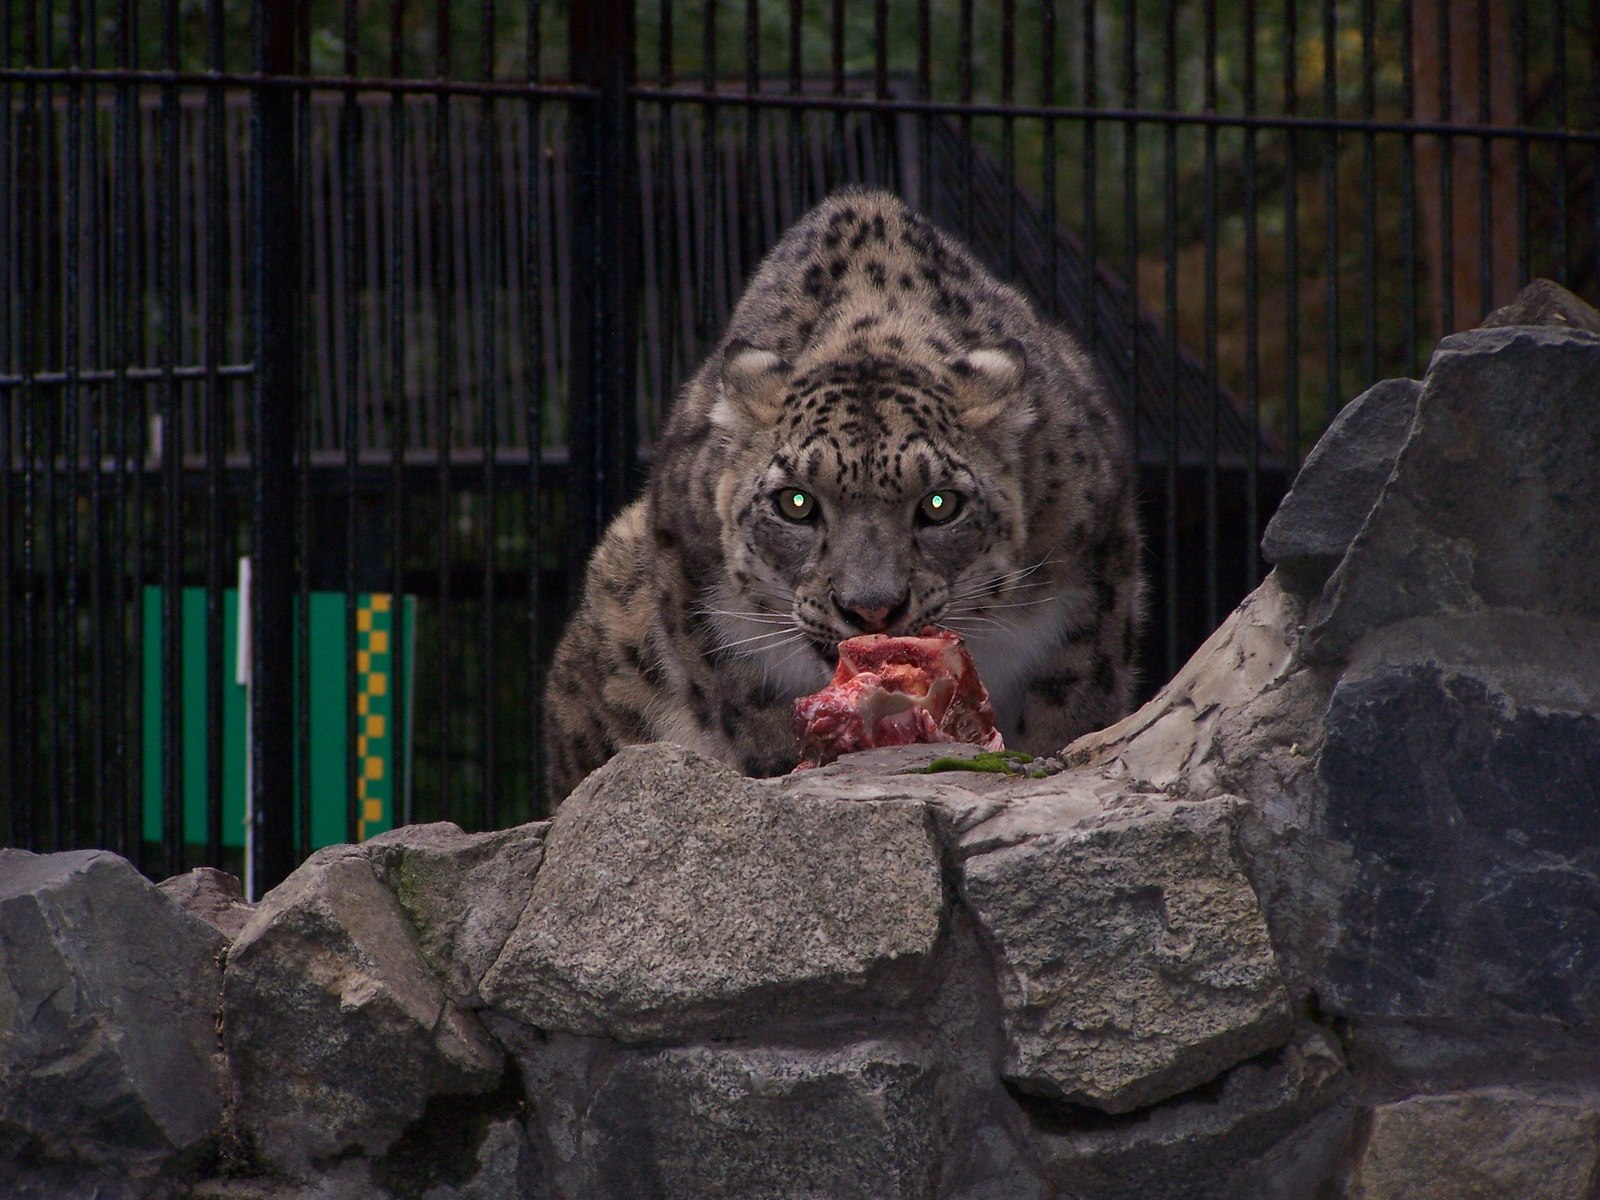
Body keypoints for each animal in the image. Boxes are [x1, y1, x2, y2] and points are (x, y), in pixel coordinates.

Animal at [544, 188, 1145, 803]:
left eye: (940, 505)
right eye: (796, 503)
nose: (871, 609)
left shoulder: (1084, 602)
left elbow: (1067, 705)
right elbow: (755, 717)